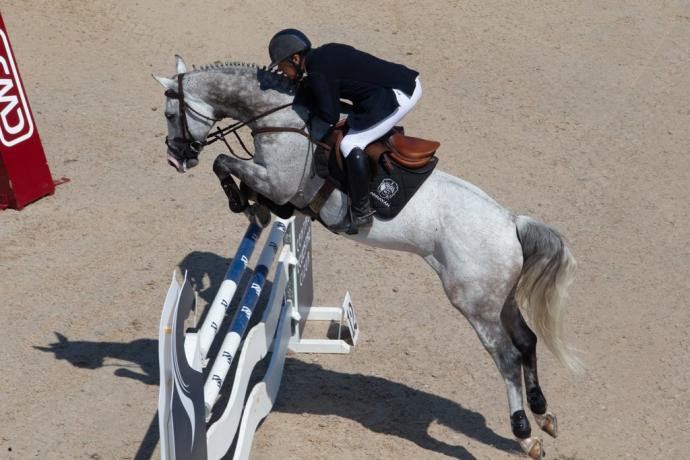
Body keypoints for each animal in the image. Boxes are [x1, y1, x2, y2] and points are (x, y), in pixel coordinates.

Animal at [152, 55, 580, 458]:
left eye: (170, 115)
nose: (176, 159)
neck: (279, 120)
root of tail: (511, 224)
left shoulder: (277, 180)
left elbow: (222, 163)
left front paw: (243, 203)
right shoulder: (278, 187)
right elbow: (251, 187)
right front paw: (254, 208)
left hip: (473, 303)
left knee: (506, 356)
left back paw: (525, 434)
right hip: (498, 298)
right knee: (526, 341)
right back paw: (544, 415)